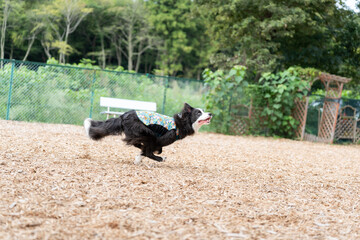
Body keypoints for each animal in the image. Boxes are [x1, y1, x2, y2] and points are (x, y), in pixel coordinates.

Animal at [83, 102, 211, 164]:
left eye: (203, 111)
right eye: (198, 113)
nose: (210, 114)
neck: (181, 123)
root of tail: (123, 116)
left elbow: (149, 150)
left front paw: (138, 158)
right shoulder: (160, 139)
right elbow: (149, 151)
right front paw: (141, 158)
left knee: (135, 142)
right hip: (147, 133)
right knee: (141, 145)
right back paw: (160, 159)